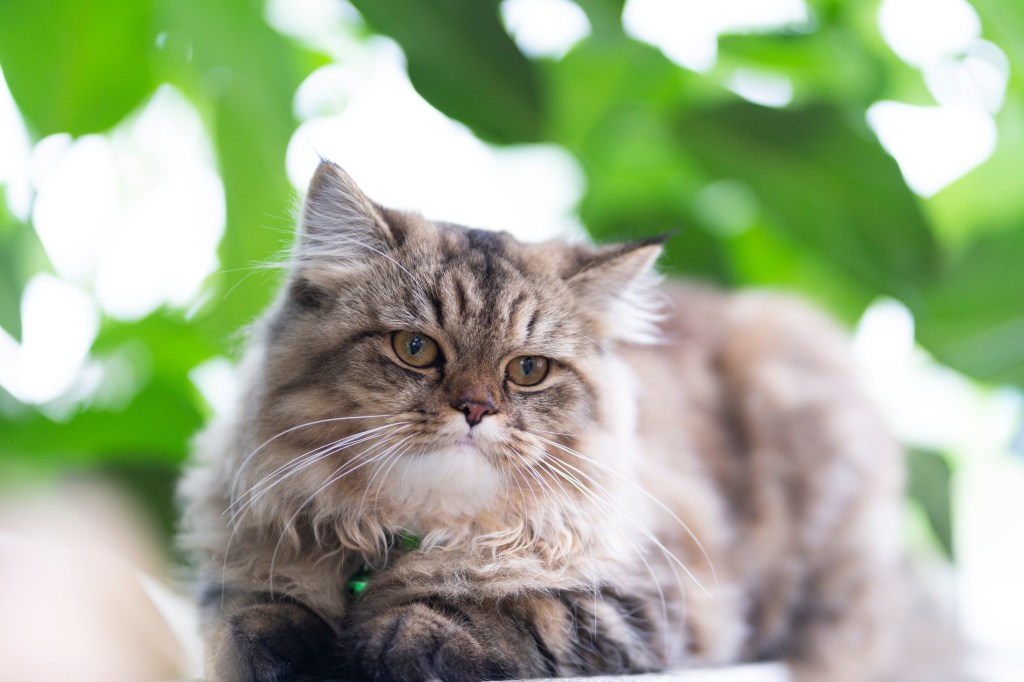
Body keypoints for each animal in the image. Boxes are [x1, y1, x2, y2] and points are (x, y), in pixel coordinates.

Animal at [174, 160, 913, 679]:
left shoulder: (658, 604)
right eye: (415, 349)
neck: (404, 539)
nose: (475, 409)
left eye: (527, 370)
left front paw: (393, 635)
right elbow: (248, 618)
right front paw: (286, 646)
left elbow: (518, 609)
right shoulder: (236, 569)